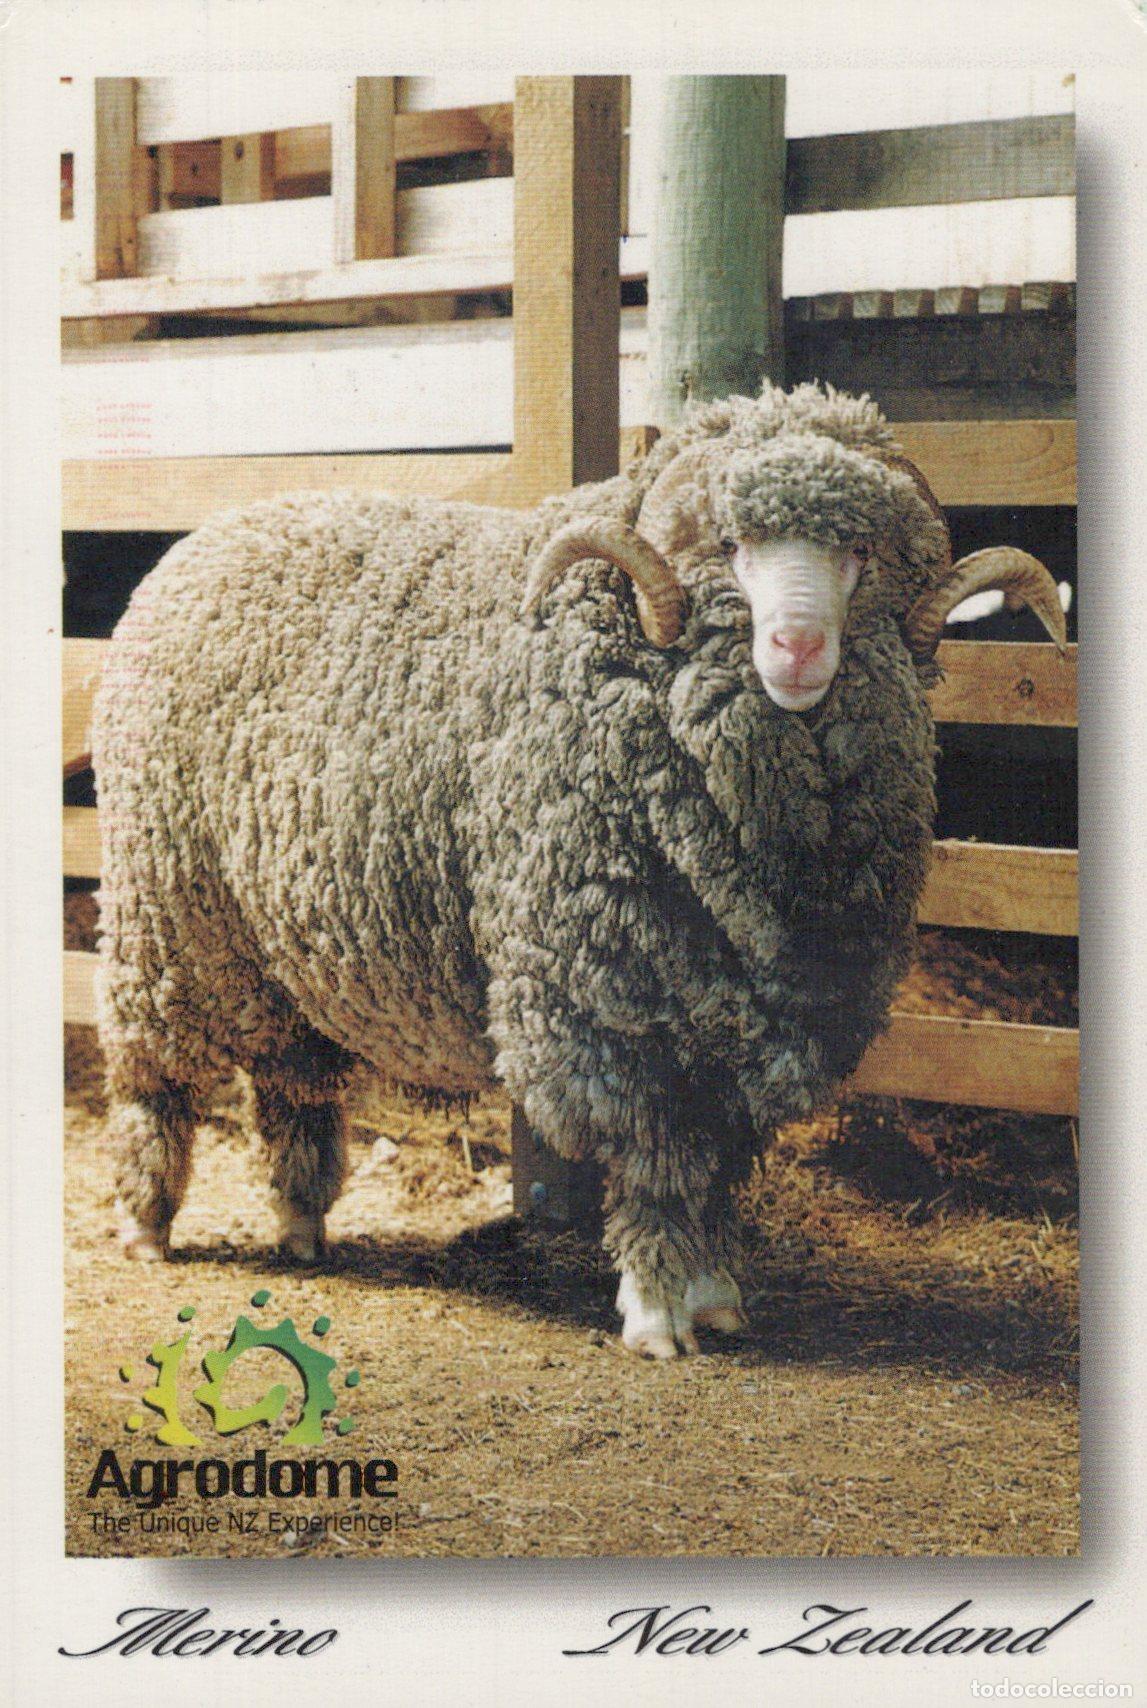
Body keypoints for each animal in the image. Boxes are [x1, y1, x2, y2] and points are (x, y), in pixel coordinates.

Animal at [93, 381, 1065, 1358]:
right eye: (731, 548)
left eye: (857, 553)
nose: (795, 649)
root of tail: (198, 543)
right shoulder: (616, 1000)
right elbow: (658, 1165)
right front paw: (657, 1312)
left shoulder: (749, 1017)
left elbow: (719, 1167)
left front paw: (716, 1294)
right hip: (165, 916)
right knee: (158, 1077)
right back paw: (146, 1224)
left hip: (279, 950)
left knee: (290, 1080)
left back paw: (299, 1227)